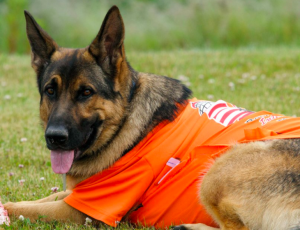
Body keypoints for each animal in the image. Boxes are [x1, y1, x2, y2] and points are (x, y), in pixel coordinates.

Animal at [2, 4, 300, 230]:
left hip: (217, 171)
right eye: (50, 91)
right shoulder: (79, 196)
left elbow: (18, 207)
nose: (55, 137)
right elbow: (41, 199)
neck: (125, 123)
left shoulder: (83, 210)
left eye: (86, 92)